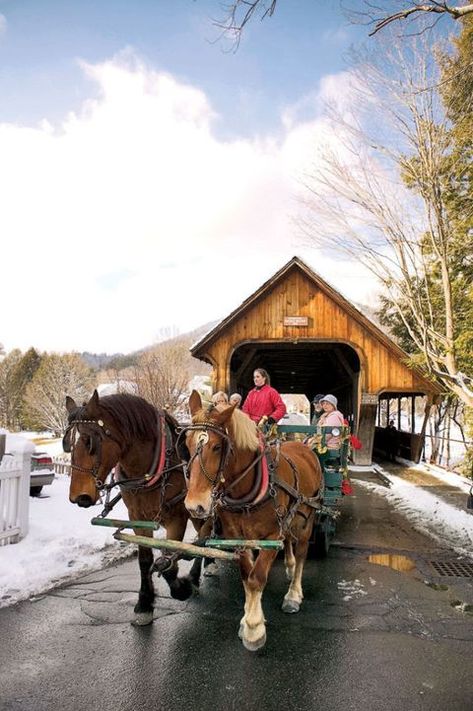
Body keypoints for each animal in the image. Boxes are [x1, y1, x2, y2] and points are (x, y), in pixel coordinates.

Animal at [63, 392, 202, 624]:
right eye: (66, 444)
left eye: (89, 442)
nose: (78, 497)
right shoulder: (138, 517)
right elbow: (145, 560)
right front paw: (144, 602)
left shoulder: (177, 516)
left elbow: (167, 559)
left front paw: (181, 588)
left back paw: (195, 575)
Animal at [183, 392, 322, 652]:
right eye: (186, 444)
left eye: (217, 447)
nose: (195, 506)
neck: (247, 490)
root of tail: (304, 446)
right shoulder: (237, 537)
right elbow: (246, 577)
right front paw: (246, 618)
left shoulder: (271, 537)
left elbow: (257, 578)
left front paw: (254, 628)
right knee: (290, 542)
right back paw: (288, 565)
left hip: (306, 518)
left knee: (301, 551)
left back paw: (293, 593)